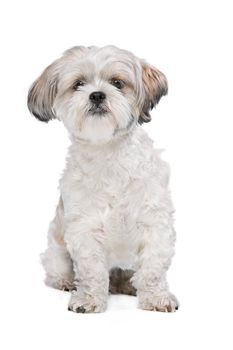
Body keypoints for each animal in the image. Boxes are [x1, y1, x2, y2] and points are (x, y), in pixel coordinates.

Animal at [28, 45, 179, 312]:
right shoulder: (84, 228)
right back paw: (66, 282)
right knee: (57, 269)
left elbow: (153, 268)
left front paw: (155, 297)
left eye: (117, 83)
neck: (108, 152)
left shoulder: (155, 222)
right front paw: (88, 298)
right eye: (78, 84)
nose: (97, 95)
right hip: (57, 249)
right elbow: (91, 270)